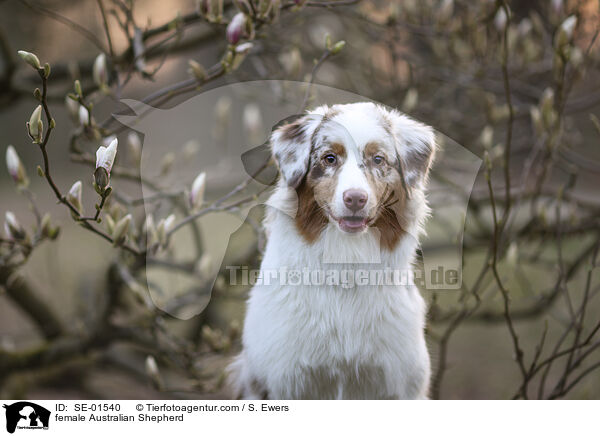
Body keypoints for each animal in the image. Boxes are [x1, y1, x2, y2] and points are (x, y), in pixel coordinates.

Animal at [230, 101, 436, 398]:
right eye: (329, 158)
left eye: (378, 159)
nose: (355, 198)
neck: (345, 267)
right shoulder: (283, 380)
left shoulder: (399, 381)